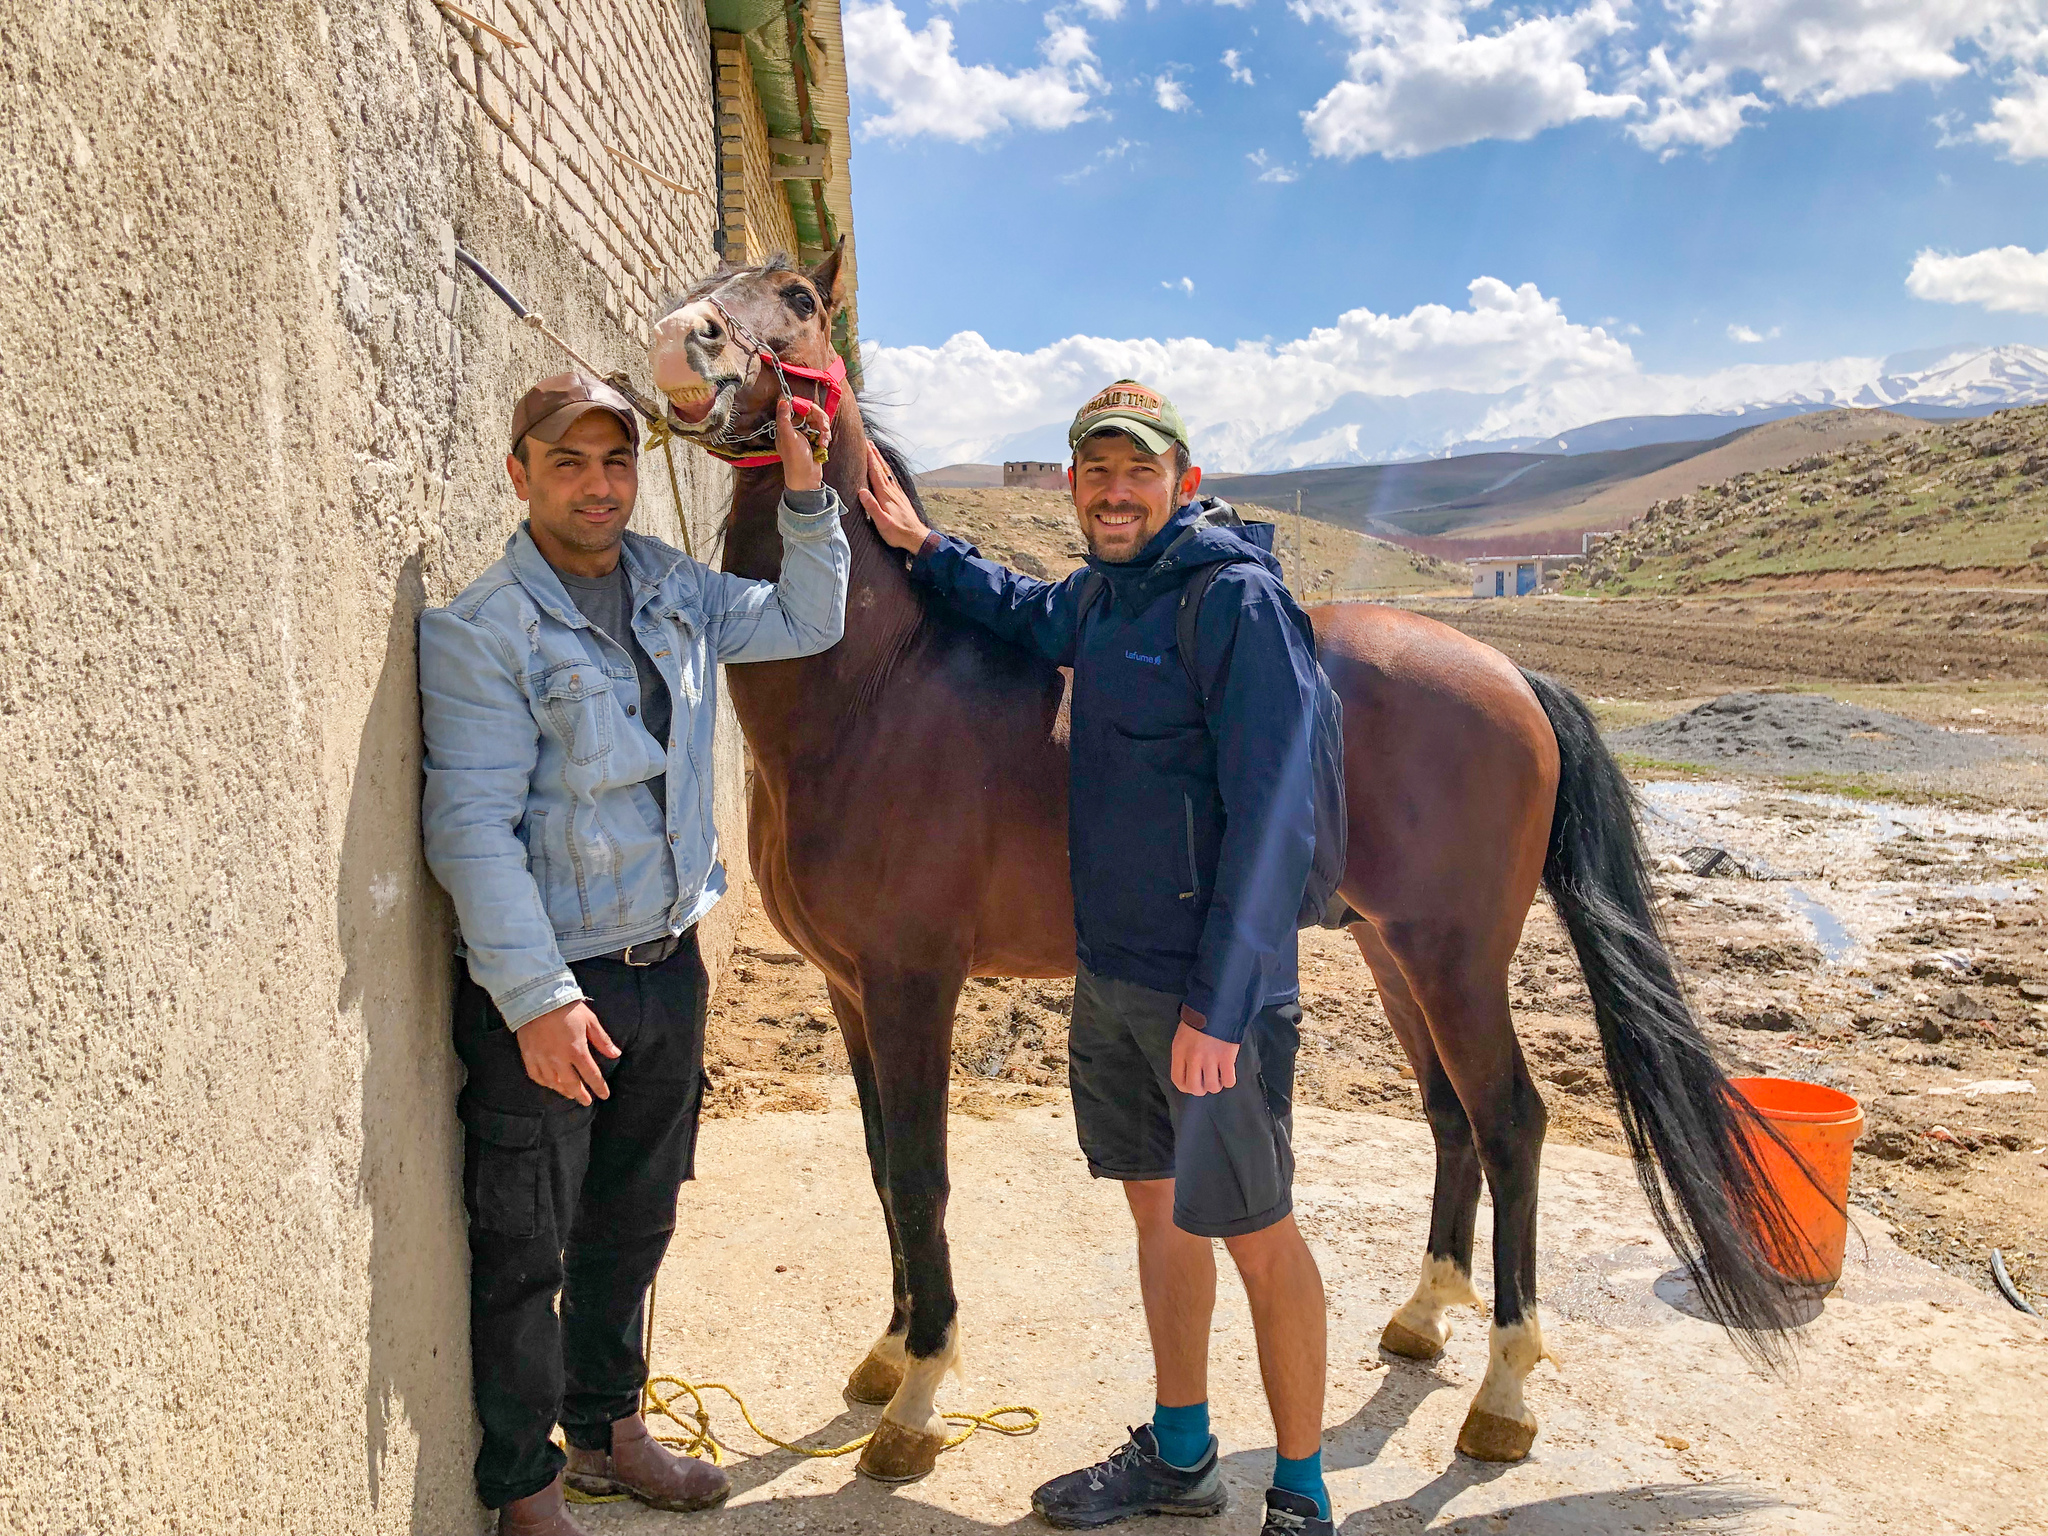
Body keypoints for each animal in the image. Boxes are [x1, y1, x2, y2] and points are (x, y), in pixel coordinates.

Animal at [651, 246, 1810, 1482]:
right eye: (713, 274)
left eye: (798, 301)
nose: (683, 342)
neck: (879, 684)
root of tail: (1507, 672)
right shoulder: (850, 992)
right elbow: (880, 1168)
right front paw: (884, 1355)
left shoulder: (915, 985)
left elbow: (922, 1177)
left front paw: (916, 1398)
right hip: (1395, 955)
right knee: (1449, 1116)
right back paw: (1422, 1316)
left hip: (1454, 960)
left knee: (1509, 1123)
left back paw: (1501, 1392)